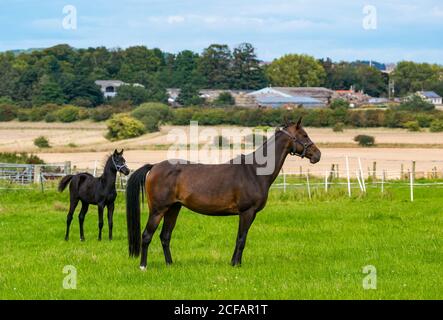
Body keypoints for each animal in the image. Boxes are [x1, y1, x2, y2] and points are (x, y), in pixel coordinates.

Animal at [126, 118, 320, 270]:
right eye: (304, 135)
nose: (317, 155)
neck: (255, 171)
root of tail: (154, 167)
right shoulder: (247, 212)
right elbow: (241, 239)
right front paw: (236, 264)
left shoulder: (249, 214)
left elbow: (240, 238)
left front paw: (234, 263)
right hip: (158, 210)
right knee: (147, 236)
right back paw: (143, 266)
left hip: (174, 209)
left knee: (165, 236)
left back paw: (170, 265)